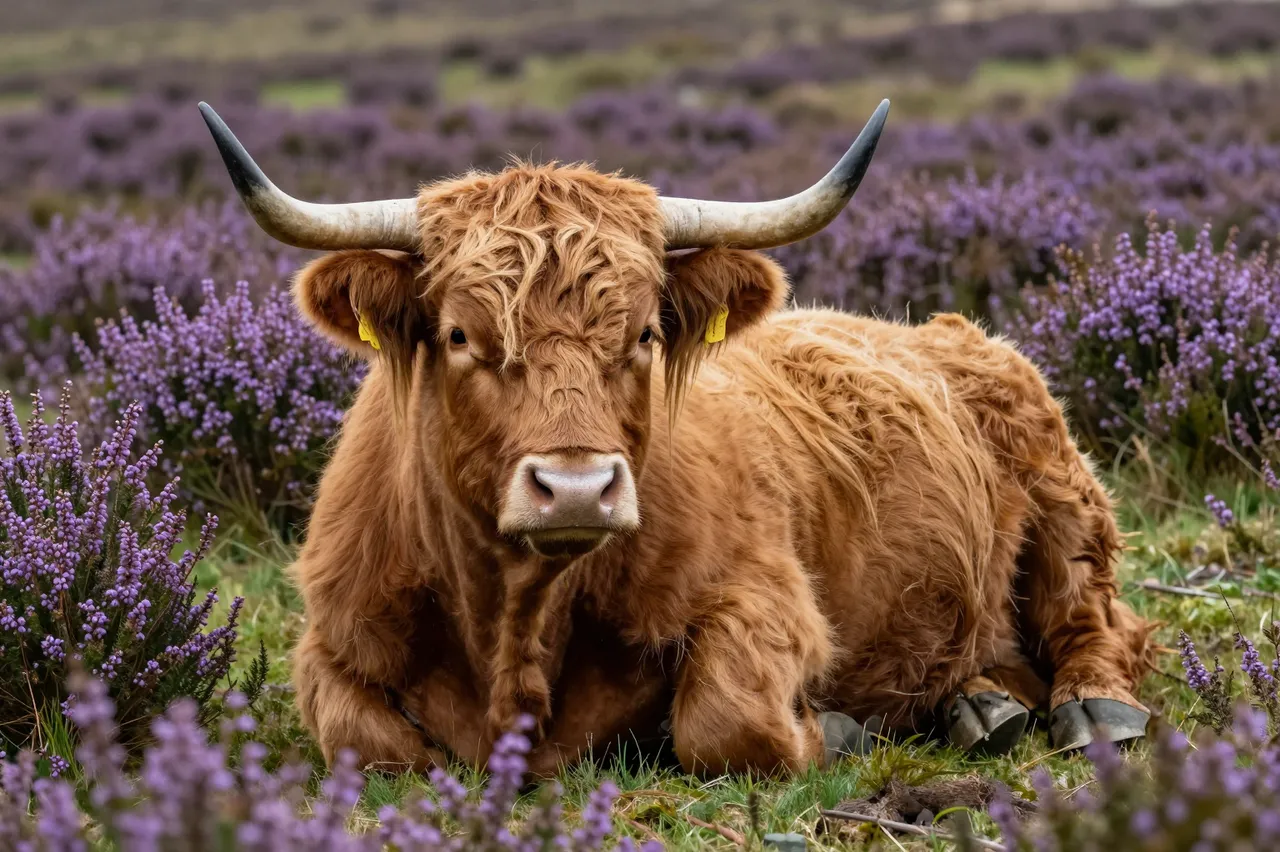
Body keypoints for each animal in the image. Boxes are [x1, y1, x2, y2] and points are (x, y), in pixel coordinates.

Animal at [200, 98, 1157, 777]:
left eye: (646, 334)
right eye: (461, 335)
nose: (577, 488)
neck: (519, 627)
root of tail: (953, 331)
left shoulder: (770, 601)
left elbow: (723, 724)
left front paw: (838, 728)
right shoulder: (332, 640)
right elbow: (367, 743)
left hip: (1068, 503)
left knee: (1095, 621)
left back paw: (1086, 711)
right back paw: (980, 706)